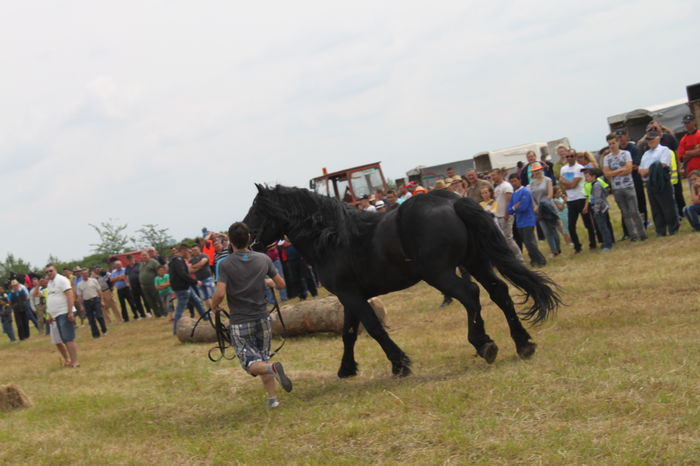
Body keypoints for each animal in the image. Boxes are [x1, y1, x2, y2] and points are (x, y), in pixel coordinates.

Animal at [243, 184, 561, 378]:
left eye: (257, 210)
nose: (243, 235)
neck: (332, 237)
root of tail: (452, 201)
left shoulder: (351, 295)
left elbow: (373, 329)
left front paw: (399, 363)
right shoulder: (349, 297)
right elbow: (348, 333)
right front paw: (346, 368)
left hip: (439, 273)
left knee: (470, 294)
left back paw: (483, 343)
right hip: (476, 262)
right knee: (500, 292)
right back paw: (522, 343)